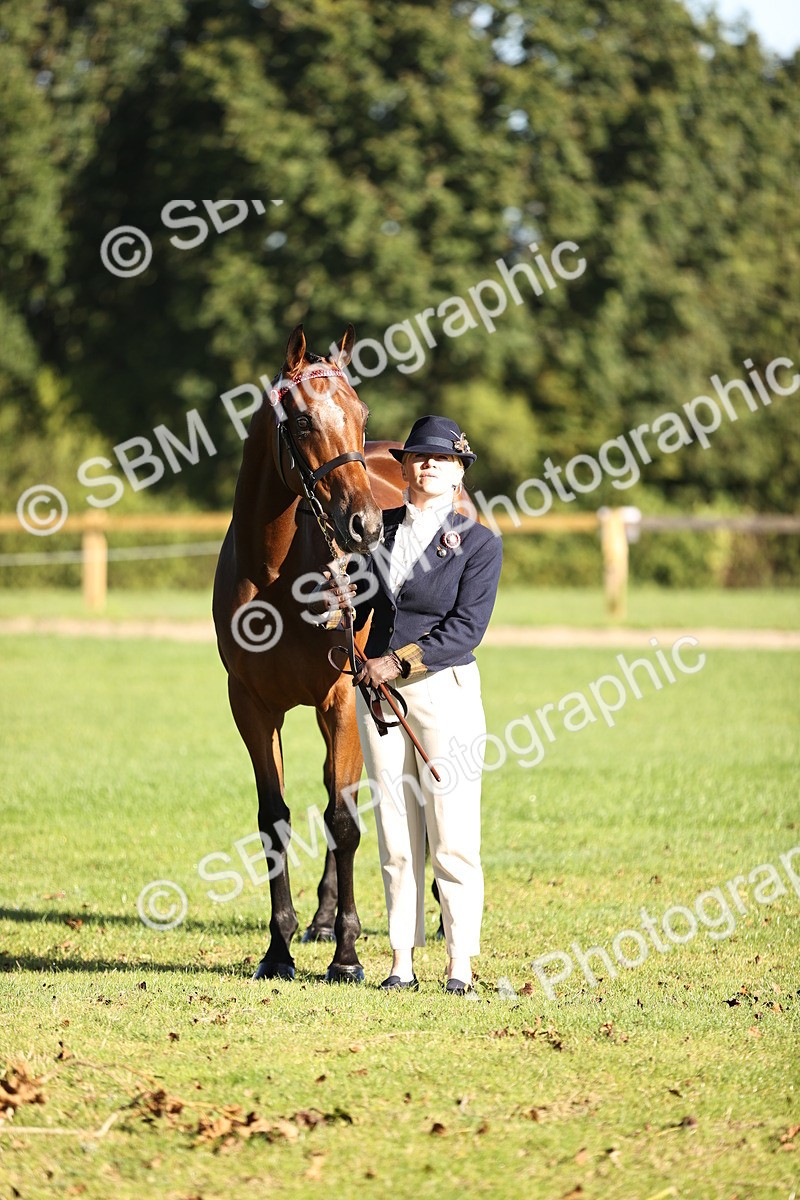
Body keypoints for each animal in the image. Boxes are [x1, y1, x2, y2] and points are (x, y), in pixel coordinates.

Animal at [213, 323, 474, 982]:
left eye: (360, 414)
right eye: (302, 421)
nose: (364, 526)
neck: (275, 576)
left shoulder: (341, 697)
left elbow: (343, 822)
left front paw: (349, 956)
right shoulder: (251, 706)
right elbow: (275, 819)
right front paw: (278, 949)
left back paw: (430, 917)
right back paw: (323, 919)